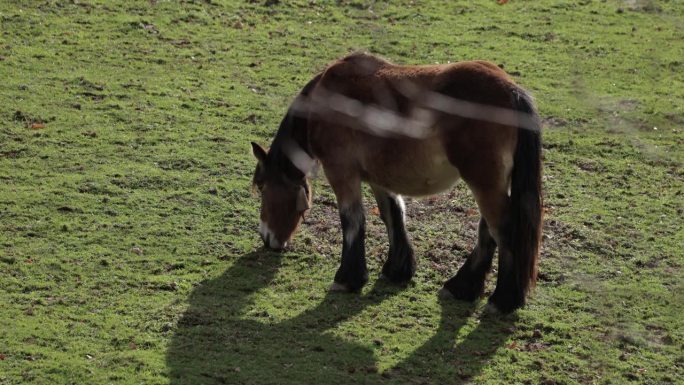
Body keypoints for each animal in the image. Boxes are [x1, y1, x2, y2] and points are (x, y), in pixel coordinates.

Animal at [248, 53, 544, 312]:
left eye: (262, 187)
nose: (266, 238)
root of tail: (511, 90)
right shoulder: (378, 176)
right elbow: (392, 214)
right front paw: (397, 269)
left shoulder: (342, 172)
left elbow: (352, 220)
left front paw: (347, 279)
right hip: (492, 184)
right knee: (488, 231)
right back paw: (462, 287)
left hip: (484, 184)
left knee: (503, 231)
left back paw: (503, 300)